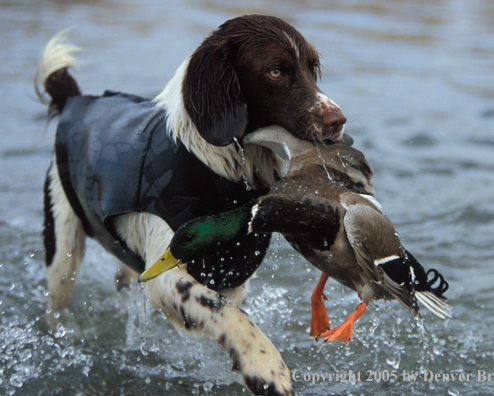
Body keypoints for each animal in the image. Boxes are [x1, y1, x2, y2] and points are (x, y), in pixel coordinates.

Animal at [35, 15, 348, 396]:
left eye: (312, 67)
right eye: (275, 71)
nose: (338, 120)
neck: (221, 173)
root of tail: (76, 99)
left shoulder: (231, 273)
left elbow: (226, 308)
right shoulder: (166, 270)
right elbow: (225, 313)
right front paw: (264, 365)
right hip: (62, 248)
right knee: (55, 305)